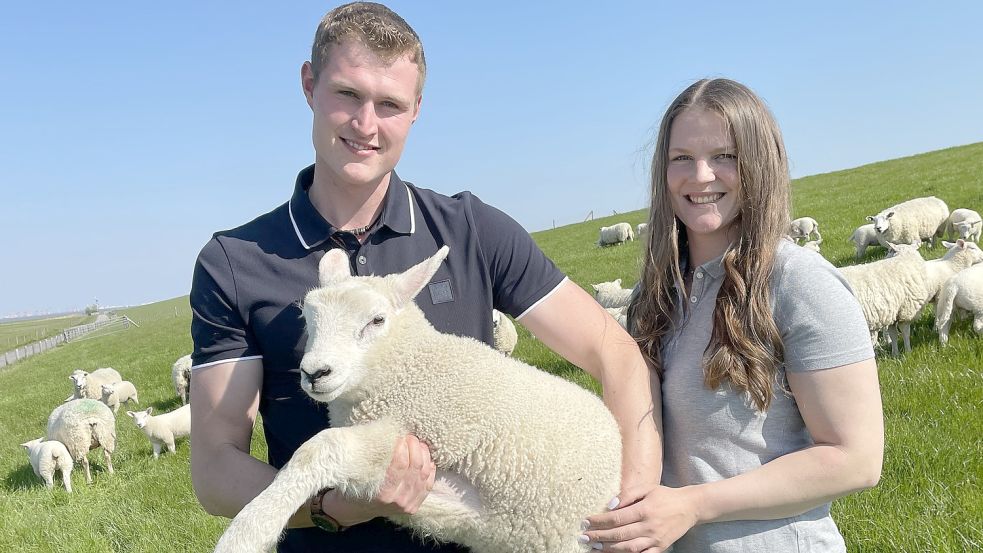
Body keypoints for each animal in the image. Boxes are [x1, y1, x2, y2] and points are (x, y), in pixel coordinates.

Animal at [216, 247, 624, 552]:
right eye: (308, 319)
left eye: (377, 320)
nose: (315, 373)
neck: (409, 371)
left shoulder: (432, 434)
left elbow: (321, 448)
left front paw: (247, 532)